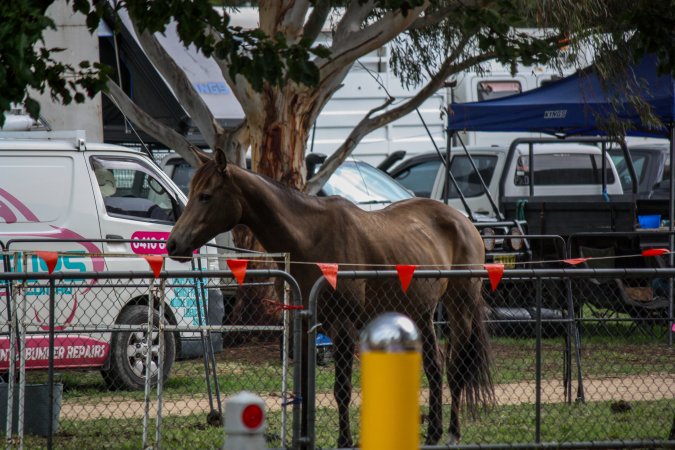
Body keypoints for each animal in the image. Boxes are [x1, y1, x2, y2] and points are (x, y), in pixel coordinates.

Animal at [166, 151, 494, 446]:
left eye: (206, 196)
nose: (173, 244)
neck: (309, 237)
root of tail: (463, 222)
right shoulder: (303, 324)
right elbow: (302, 388)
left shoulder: (343, 325)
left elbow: (342, 390)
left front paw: (345, 440)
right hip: (421, 314)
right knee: (434, 368)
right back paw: (433, 433)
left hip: (460, 308)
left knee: (457, 370)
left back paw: (452, 433)